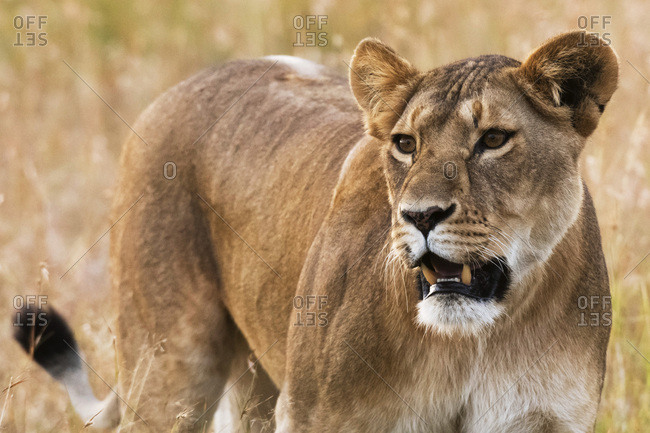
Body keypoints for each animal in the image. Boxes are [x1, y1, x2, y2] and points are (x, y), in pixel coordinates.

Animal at [14, 31, 617, 432]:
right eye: (405, 144)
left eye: (493, 139)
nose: (420, 216)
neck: (471, 344)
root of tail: (183, 86)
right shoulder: (315, 415)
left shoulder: (546, 418)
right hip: (168, 372)